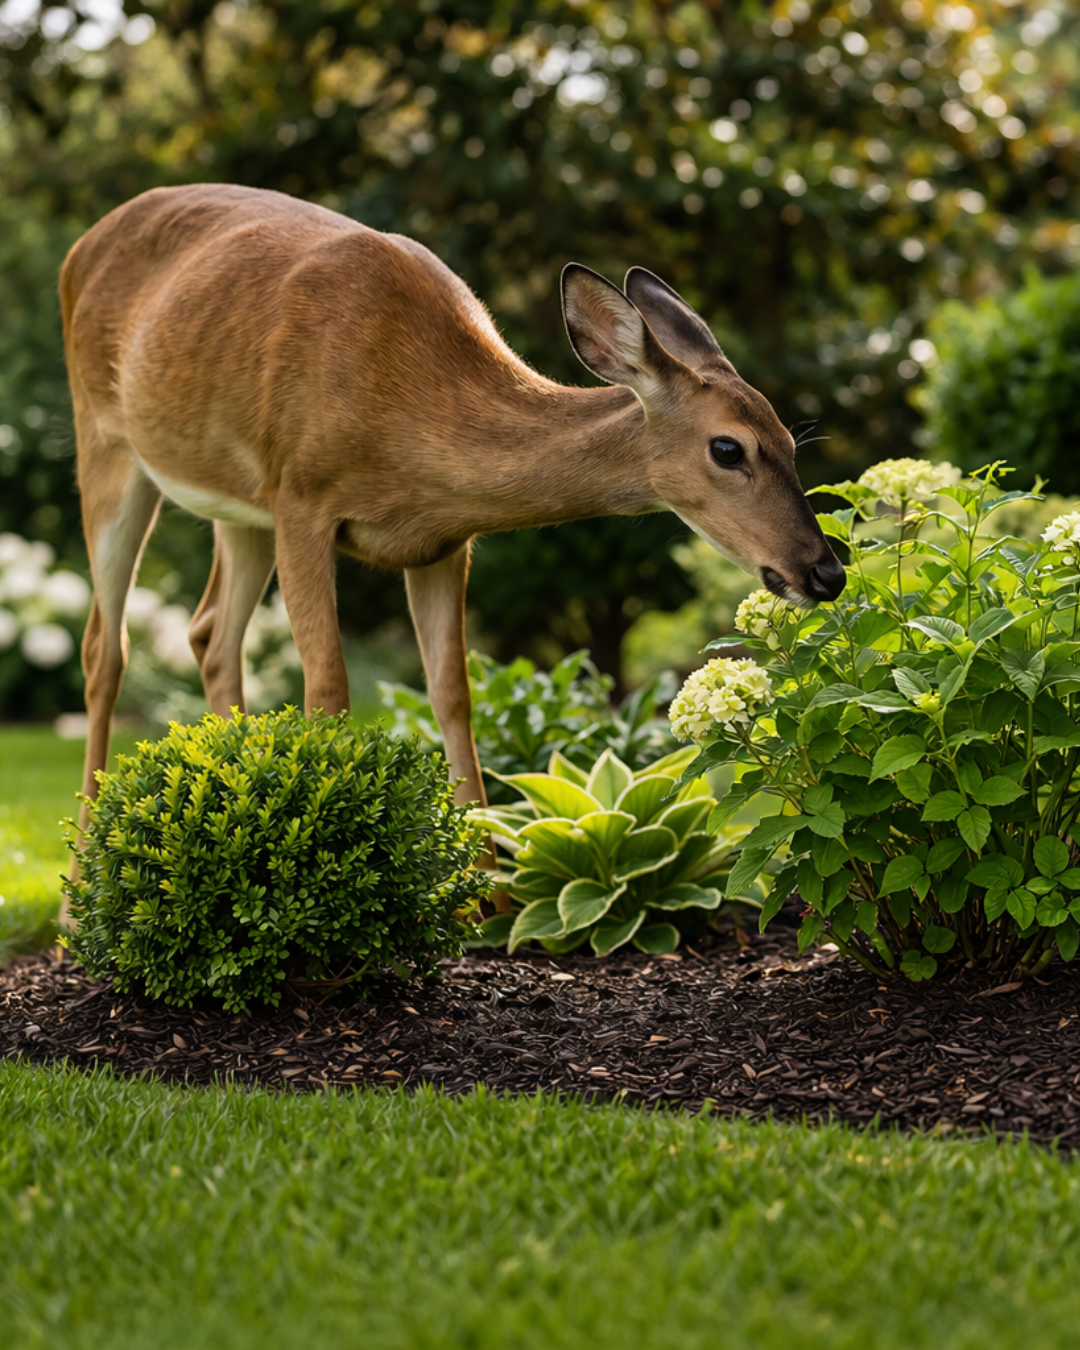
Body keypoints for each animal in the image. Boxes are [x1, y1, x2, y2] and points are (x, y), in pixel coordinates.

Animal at [58, 183, 845, 926]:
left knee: (210, 633)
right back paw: (78, 893)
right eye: (728, 448)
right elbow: (328, 685)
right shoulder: (301, 498)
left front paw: (486, 897)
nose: (826, 571)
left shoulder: (442, 541)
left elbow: (453, 692)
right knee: (105, 647)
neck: (410, 419)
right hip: (107, 444)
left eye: (791, 440)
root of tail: (81, 246)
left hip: (236, 504)